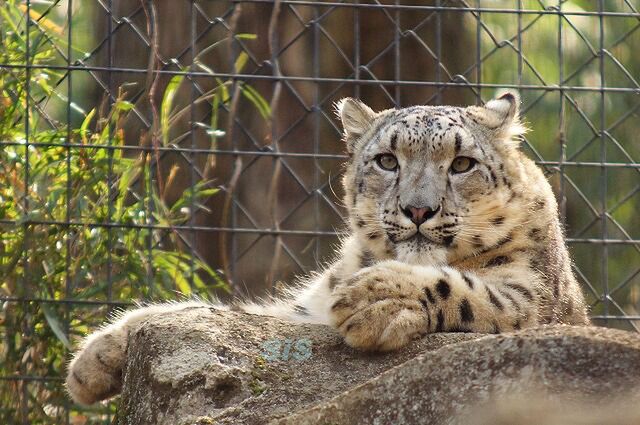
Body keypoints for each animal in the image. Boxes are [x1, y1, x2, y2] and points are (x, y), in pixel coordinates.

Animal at [66, 91, 592, 402]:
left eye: (462, 163)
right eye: (386, 160)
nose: (418, 210)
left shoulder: (532, 296)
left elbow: (473, 291)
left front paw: (374, 298)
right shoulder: (304, 310)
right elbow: (233, 314)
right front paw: (96, 357)